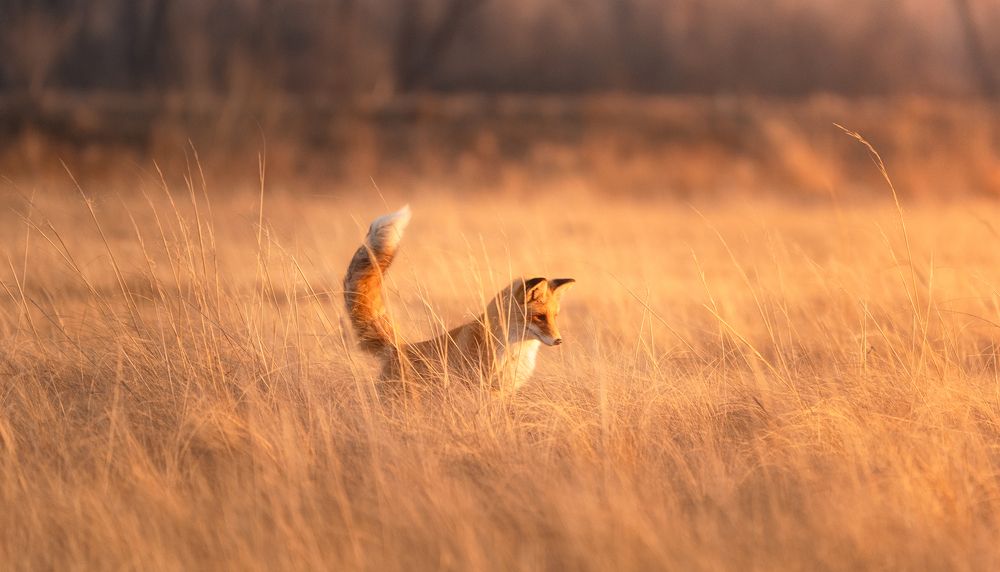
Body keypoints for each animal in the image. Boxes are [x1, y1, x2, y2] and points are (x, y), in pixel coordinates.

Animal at [343, 205, 575, 393]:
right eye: (539, 317)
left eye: (554, 317)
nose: (559, 340)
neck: (512, 348)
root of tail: (397, 348)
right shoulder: (482, 389)